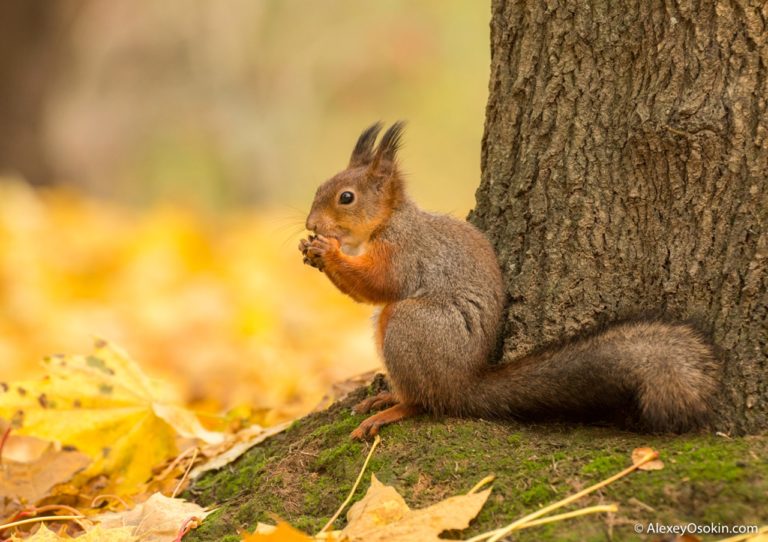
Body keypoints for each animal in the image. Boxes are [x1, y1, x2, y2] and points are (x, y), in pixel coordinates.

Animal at [300, 122, 720, 442]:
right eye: (321, 188)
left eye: (346, 198)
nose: (310, 224)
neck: (390, 222)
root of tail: (463, 383)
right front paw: (312, 249)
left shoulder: (407, 251)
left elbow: (379, 283)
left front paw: (327, 251)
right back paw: (385, 398)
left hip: (412, 326)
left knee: (424, 400)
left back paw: (392, 409)